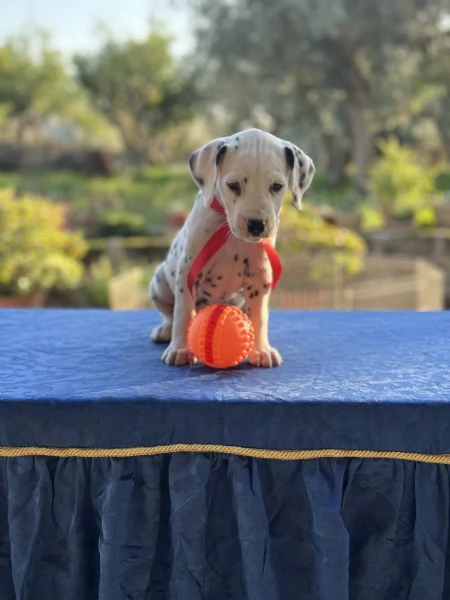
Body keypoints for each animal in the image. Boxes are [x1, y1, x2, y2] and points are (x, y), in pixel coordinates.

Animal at [149, 127, 314, 366]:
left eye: (277, 186)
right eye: (233, 185)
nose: (257, 224)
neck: (230, 234)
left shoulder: (260, 277)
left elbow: (259, 315)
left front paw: (261, 350)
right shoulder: (189, 271)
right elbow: (183, 312)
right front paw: (180, 349)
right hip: (159, 283)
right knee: (170, 313)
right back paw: (165, 330)